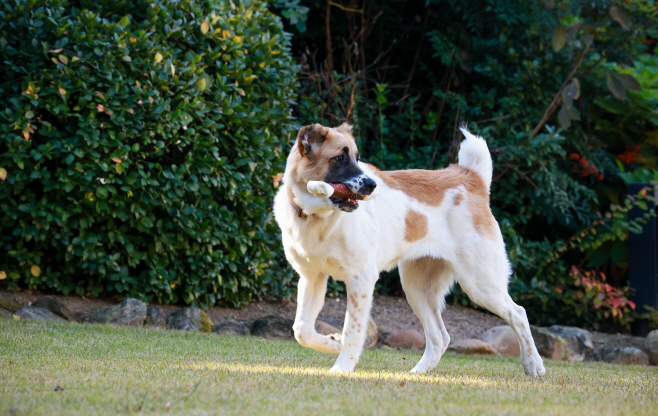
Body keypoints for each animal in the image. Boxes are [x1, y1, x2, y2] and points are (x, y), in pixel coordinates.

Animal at [272, 122, 544, 376]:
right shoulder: (312, 278)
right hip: (417, 289)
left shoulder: (361, 279)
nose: (371, 185)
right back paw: (418, 373)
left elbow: (352, 330)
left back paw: (534, 365)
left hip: (480, 284)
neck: (316, 218)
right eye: (339, 158)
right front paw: (331, 344)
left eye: (357, 158)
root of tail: (470, 177)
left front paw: (342, 367)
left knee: (518, 314)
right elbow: (301, 330)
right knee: (440, 337)